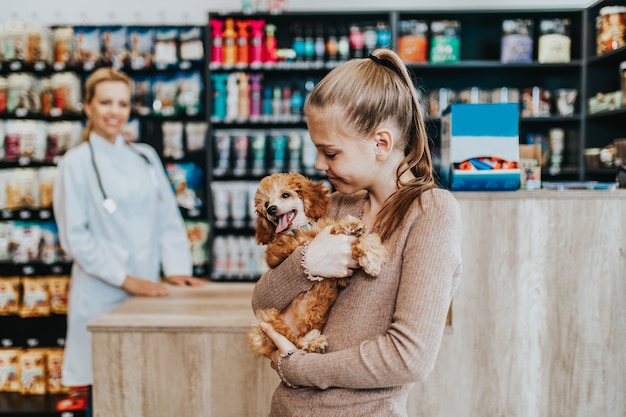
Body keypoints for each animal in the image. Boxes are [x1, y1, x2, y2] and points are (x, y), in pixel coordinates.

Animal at [245, 171, 382, 356]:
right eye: (265, 204)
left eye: (285, 195)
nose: (270, 209)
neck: (299, 227)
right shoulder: (294, 246)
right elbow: (337, 231)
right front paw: (351, 227)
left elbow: (361, 236)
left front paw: (371, 251)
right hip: (266, 318)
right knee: (290, 339)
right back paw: (312, 342)